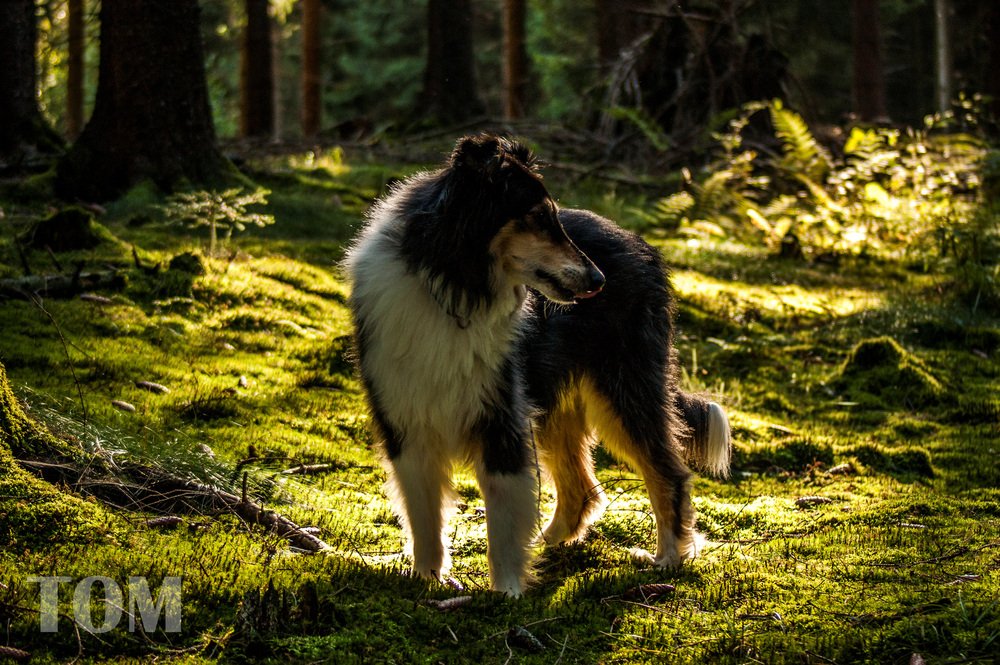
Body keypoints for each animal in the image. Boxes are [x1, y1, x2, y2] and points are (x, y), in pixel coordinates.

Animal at [348, 132, 732, 592]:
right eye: (538, 218)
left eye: (553, 218)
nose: (599, 280)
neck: (452, 286)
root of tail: (642, 246)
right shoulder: (407, 424)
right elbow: (424, 518)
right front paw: (427, 581)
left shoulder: (504, 416)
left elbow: (503, 521)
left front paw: (507, 592)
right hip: (557, 405)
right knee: (582, 487)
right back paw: (550, 542)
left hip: (622, 390)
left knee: (668, 473)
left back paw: (670, 558)